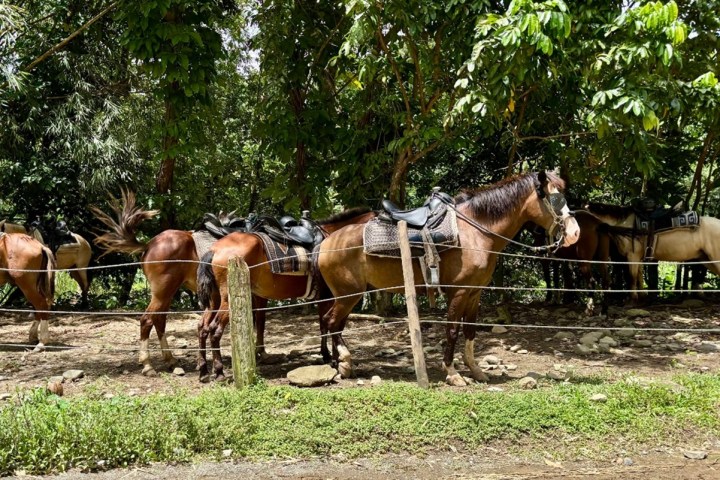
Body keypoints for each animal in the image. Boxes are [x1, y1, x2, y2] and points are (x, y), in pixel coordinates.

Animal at [196, 207, 378, 382]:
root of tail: (214, 250)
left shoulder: (324, 297)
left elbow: (323, 325)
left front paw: (327, 356)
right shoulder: (332, 296)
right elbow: (333, 326)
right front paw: (335, 359)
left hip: (214, 300)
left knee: (202, 327)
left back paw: (204, 370)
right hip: (227, 301)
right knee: (215, 330)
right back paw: (219, 372)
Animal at [317, 171, 580, 386]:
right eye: (555, 199)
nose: (575, 233)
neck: (476, 232)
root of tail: (327, 241)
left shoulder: (474, 293)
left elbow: (470, 331)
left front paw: (475, 371)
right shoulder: (459, 292)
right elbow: (452, 330)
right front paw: (452, 373)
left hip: (347, 296)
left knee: (335, 324)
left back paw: (339, 364)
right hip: (348, 294)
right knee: (331, 322)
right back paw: (343, 363)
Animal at [586, 202, 720, 303]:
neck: (625, 224)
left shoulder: (632, 256)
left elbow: (632, 276)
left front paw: (632, 299)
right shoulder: (638, 258)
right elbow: (639, 276)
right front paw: (642, 297)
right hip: (706, 259)